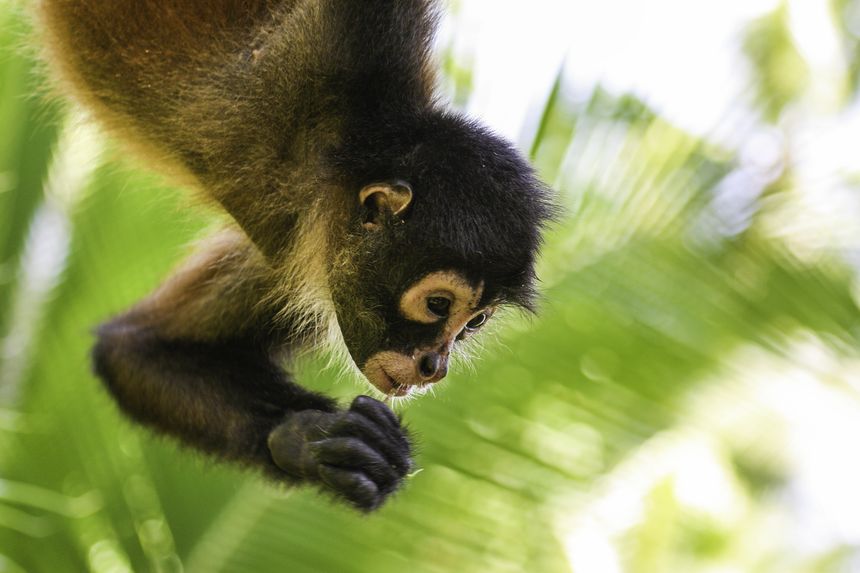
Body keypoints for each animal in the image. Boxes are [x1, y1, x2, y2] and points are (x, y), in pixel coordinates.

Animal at [37, 0, 556, 510]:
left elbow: (134, 351)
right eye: (437, 304)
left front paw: (308, 439)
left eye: (474, 324)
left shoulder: (305, 250)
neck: (332, 152)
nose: (435, 365)